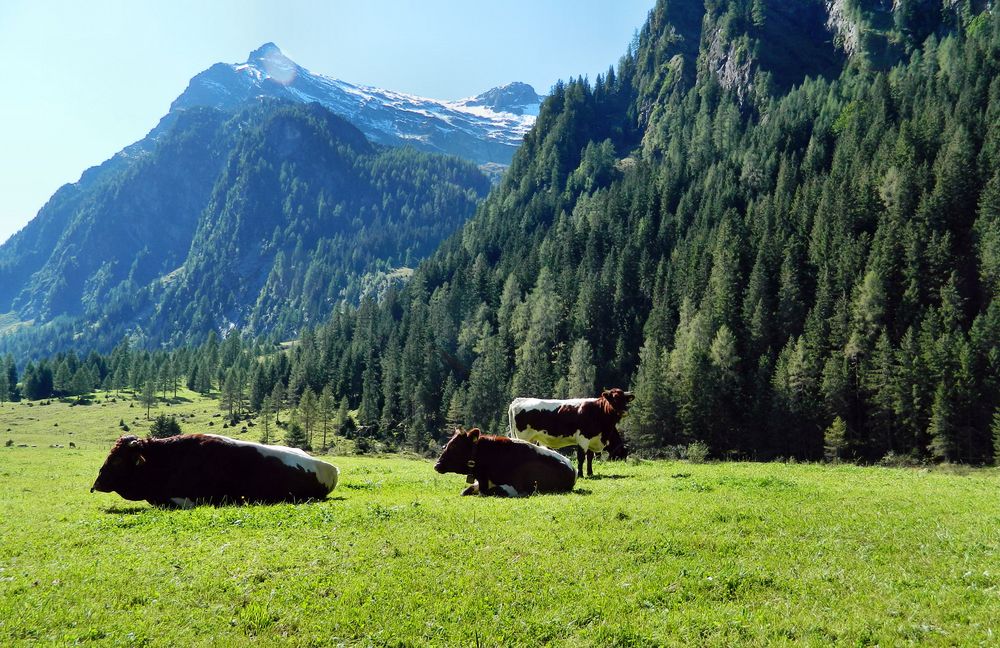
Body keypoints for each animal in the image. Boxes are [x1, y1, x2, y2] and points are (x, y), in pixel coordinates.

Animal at [434, 428, 576, 498]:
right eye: (447, 445)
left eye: (454, 446)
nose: (437, 465)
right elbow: (465, 490)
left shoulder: (514, 488)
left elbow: (489, 492)